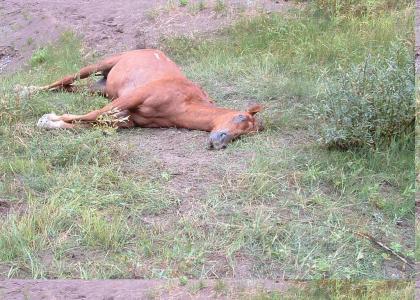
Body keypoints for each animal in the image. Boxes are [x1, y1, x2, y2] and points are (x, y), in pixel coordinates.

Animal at [30, 49, 262, 150]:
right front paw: (48, 119)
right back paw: (27, 90)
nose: (220, 142)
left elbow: (92, 123)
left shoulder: (127, 119)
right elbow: (93, 115)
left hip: (98, 89)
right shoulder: (131, 98)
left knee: (69, 87)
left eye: (244, 136)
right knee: (64, 80)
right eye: (241, 117)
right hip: (99, 66)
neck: (183, 102)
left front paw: (53, 123)